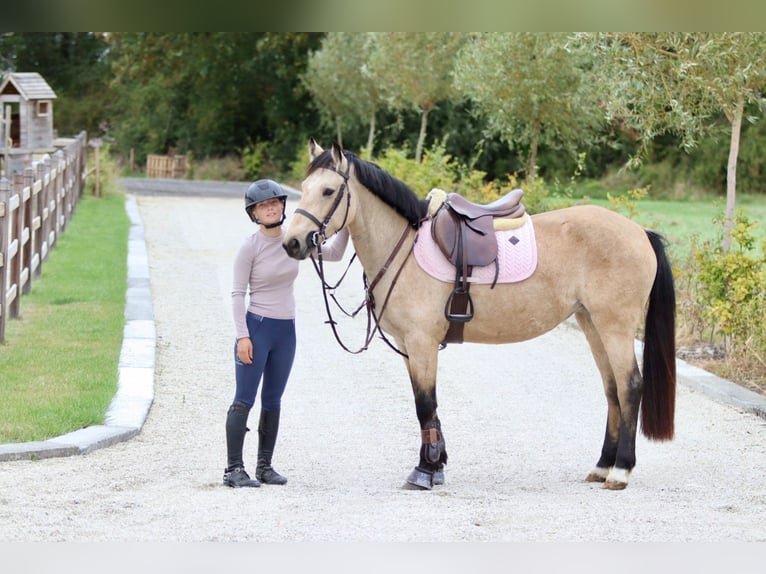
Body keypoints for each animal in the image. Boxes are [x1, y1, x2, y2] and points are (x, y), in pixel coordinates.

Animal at [283, 139, 676, 491]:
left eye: (329, 191)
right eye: (304, 188)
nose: (293, 243)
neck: (404, 245)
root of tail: (640, 233)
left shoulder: (422, 343)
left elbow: (425, 405)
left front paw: (425, 471)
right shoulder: (409, 347)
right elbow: (428, 408)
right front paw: (437, 464)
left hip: (615, 327)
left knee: (629, 387)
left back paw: (620, 471)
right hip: (592, 323)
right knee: (612, 390)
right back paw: (602, 465)